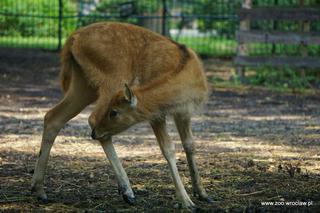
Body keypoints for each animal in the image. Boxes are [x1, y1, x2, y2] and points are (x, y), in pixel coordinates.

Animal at [31, 22, 211, 210]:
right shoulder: (156, 114)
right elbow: (168, 149)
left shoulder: (184, 112)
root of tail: (73, 39)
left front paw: (202, 193)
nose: (94, 134)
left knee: (53, 117)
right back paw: (127, 191)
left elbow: (190, 145)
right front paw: (186, 201)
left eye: (114, 112)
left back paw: (39, 190)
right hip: (110, 78)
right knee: (91, 118)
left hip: (84, 84)